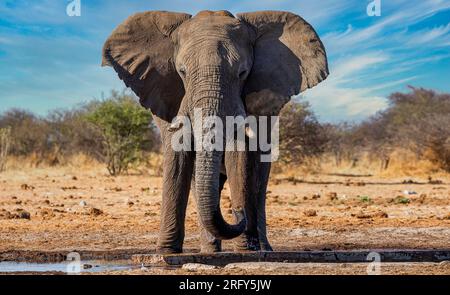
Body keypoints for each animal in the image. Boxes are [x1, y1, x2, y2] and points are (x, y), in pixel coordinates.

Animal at [101, 9, 326, 254]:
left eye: (243, 73)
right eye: (182, 72)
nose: (238, 212)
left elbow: (240, 155)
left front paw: (246, 250)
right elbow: (177, 153)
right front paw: (166, 252)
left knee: (259, 180)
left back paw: (262, 248)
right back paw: (210, 250)